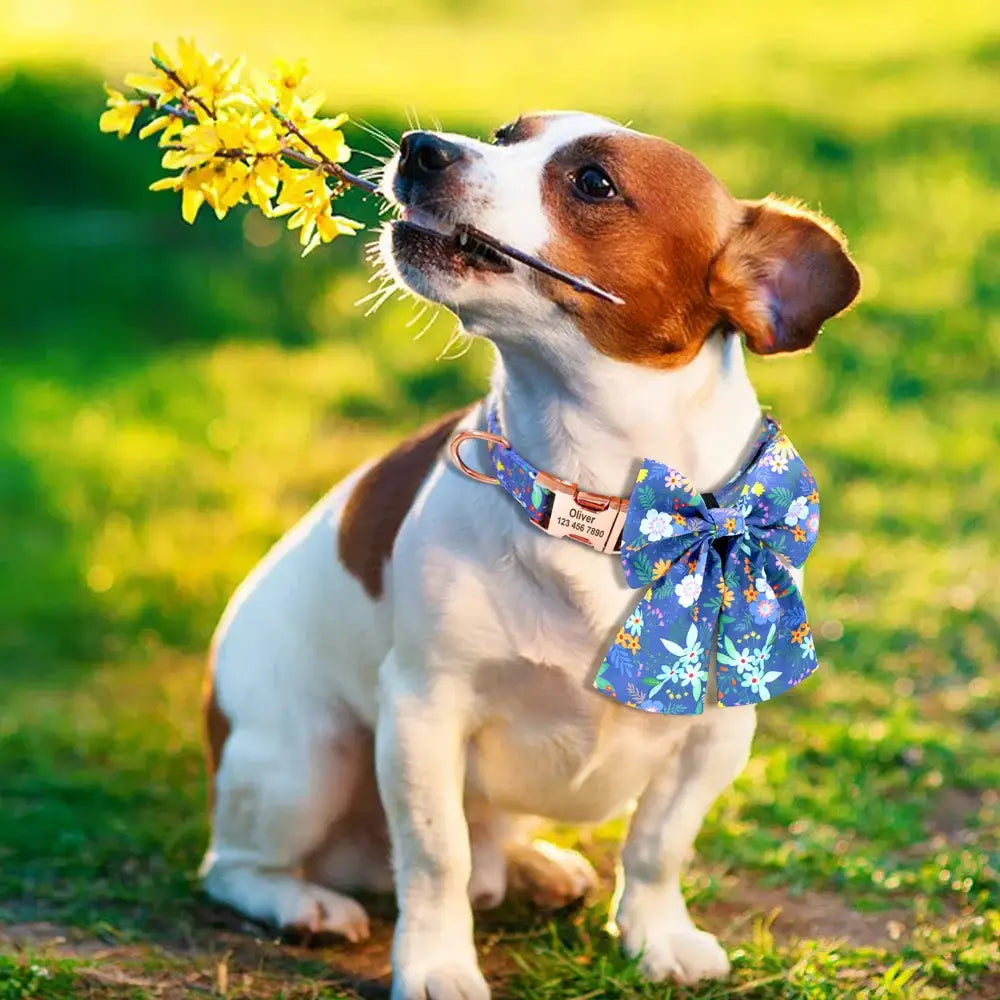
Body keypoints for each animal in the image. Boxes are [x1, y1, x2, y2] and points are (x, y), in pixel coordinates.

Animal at [201, 111, 860, 1000]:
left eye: (593, 182)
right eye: (502, 135)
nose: (421, 147)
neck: (604, 502)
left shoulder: (717, 735)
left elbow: (657, 847)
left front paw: (656, 936)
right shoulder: (423, 712)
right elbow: (435, 856)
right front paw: (438, 965)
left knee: (490, 841)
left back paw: (534, 867)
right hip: (304, 760)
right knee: (237, 865)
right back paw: (304, 903)